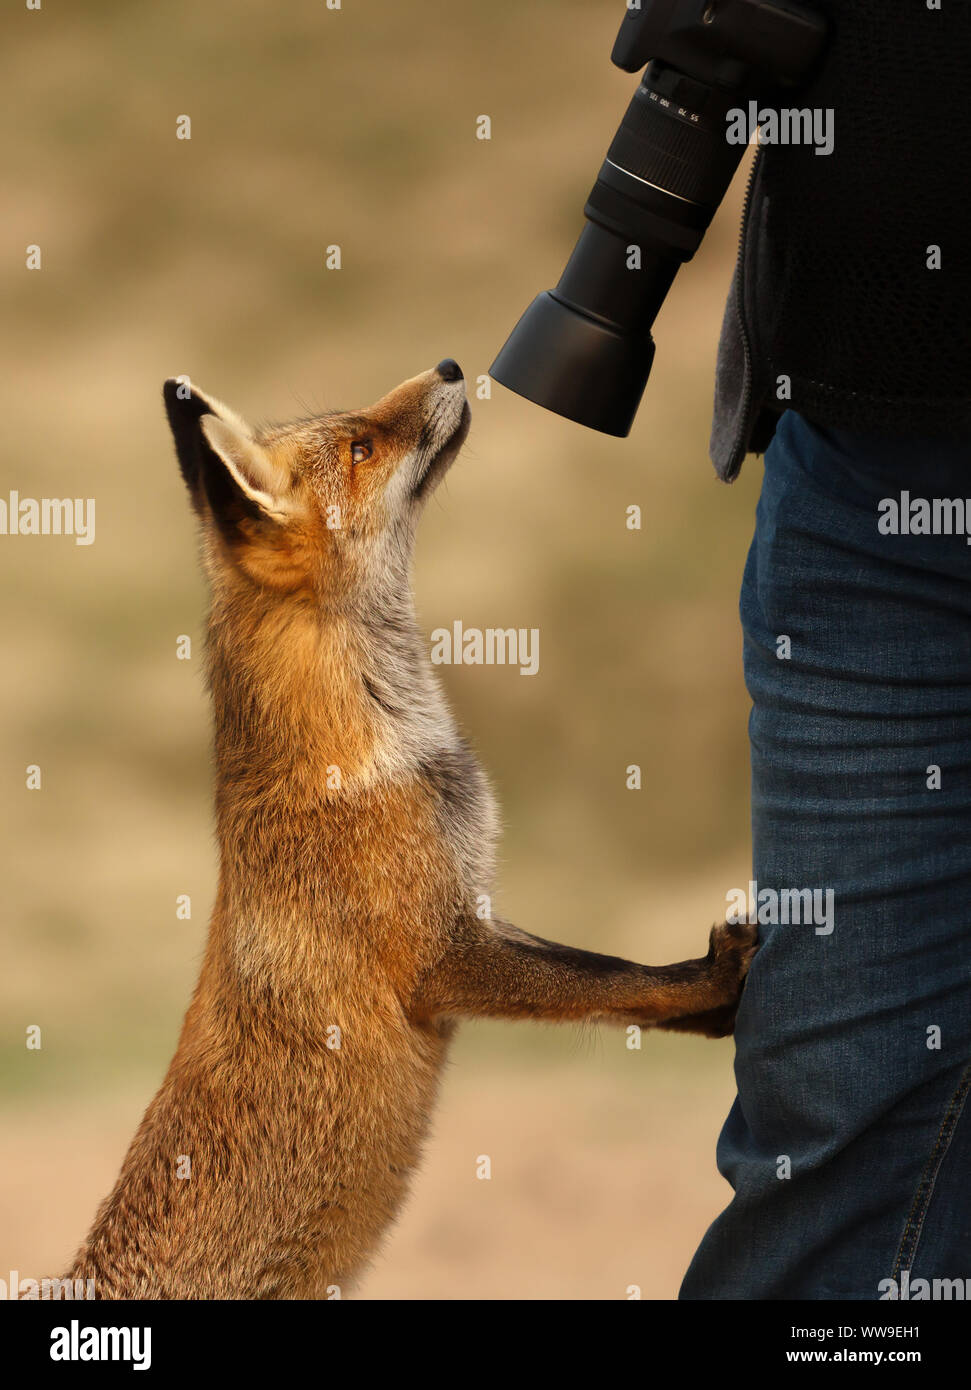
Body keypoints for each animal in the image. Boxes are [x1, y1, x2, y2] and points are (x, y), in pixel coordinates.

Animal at [62, 355, 761, 1289]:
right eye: (361, 446)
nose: (452, 365)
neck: (368, 741)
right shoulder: (438, 952)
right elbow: (604, 977)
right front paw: (710, 980)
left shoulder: (468, 900)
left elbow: (591, 975)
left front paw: (709, 1013)